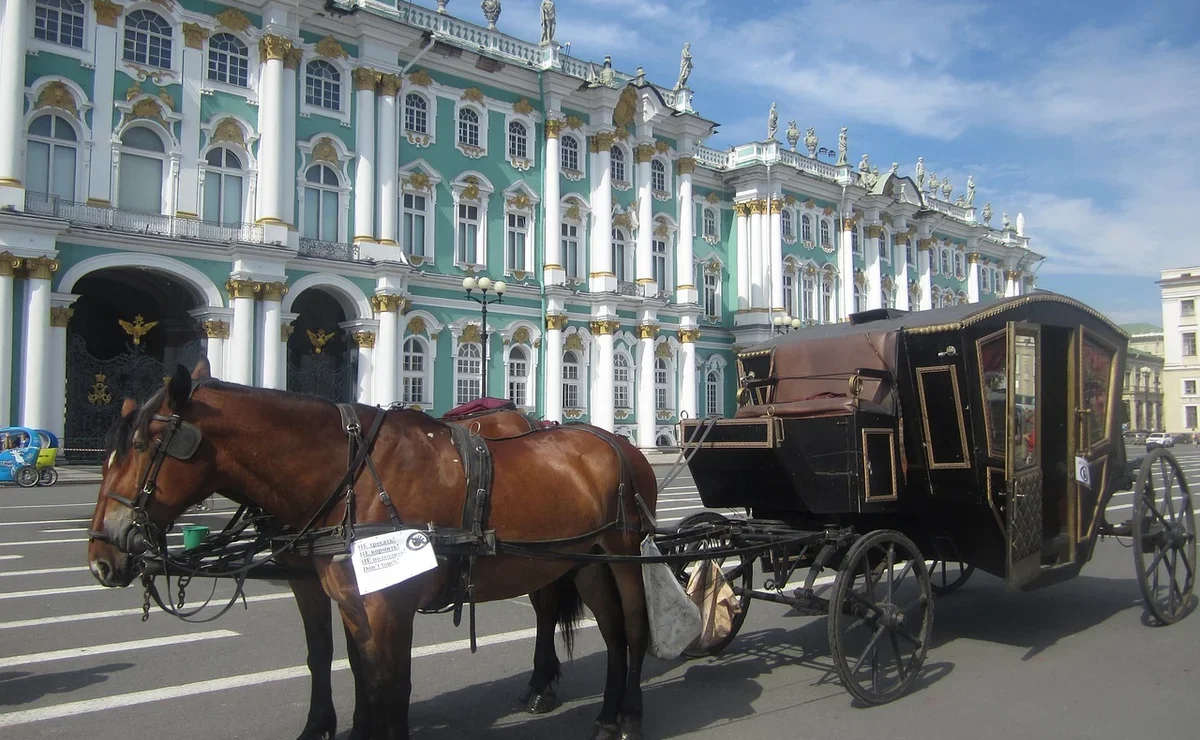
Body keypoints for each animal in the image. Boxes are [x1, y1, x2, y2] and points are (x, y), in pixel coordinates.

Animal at [87, 362, 657, 738]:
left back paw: (628, 714)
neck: (351, 479)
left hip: (625, 556)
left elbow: (390, 685)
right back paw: (602, 713)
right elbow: (348, 668)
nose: (101, 557)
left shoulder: (391, 605)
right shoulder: (344, 596)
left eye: (141, 448)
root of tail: (617, 442)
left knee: (631, 627)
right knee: (607, 632)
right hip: (584, 563)